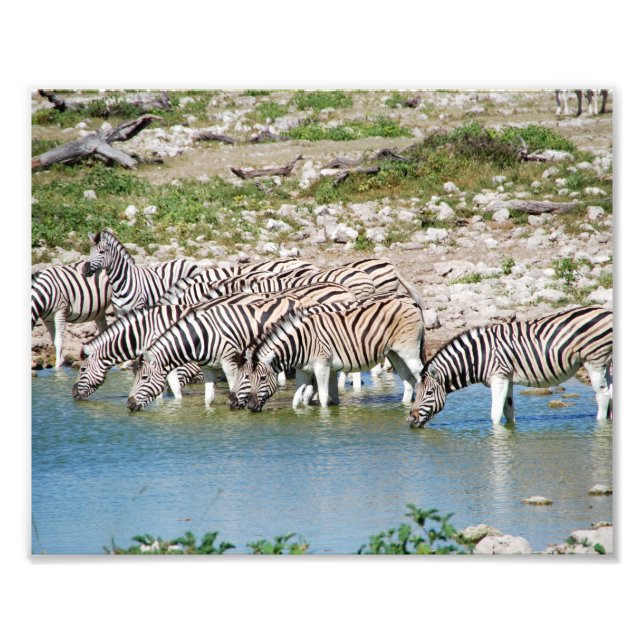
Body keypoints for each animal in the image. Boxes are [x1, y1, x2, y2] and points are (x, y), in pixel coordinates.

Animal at [126, 284, 358, 411]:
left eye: (143, 378)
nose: (129, 405)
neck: (201, 335)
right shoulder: (208, 366)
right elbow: (209, 398)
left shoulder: (229, 361)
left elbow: (233, 387)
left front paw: (236, 405)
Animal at [229, 292, 425, 412]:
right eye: (247, 378)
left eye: (261, 378)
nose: (251, 407)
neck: (300, 342)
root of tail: (410, 300)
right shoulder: (304, 370)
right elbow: (297, 398)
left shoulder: (322, 367)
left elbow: (323, 397)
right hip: (395, 354)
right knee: (408, 381)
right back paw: (404, 406)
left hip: (408, 351)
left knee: (422, 376)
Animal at [408, 305, 613, 428]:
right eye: (416, 393)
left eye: (428, 393)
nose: (411, 419)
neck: (478, 356)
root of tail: (606, 311)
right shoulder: (508, 379)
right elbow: (508, 411)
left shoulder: (498, 377)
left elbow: (495, 414)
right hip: (607, 362)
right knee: (610, 392)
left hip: (595, 360)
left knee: (602, 395)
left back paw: (600, 424)